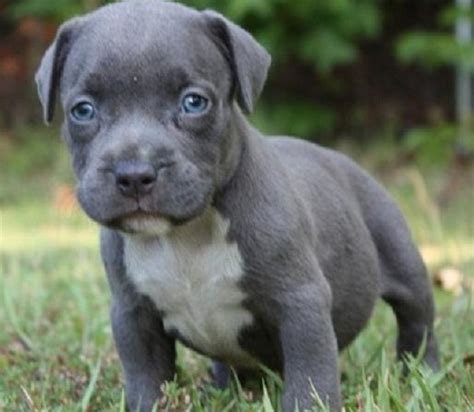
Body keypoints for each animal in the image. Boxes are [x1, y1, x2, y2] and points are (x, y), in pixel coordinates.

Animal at [36, 1, 440, 410]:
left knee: (417, 320)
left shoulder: (301, 303)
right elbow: (146, 378)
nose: (134, 174)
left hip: (400, 256)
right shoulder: (133, 314)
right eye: (82, 111)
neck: (186, 232)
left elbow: (310, 373)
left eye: (194, 103)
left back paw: (424, 373)